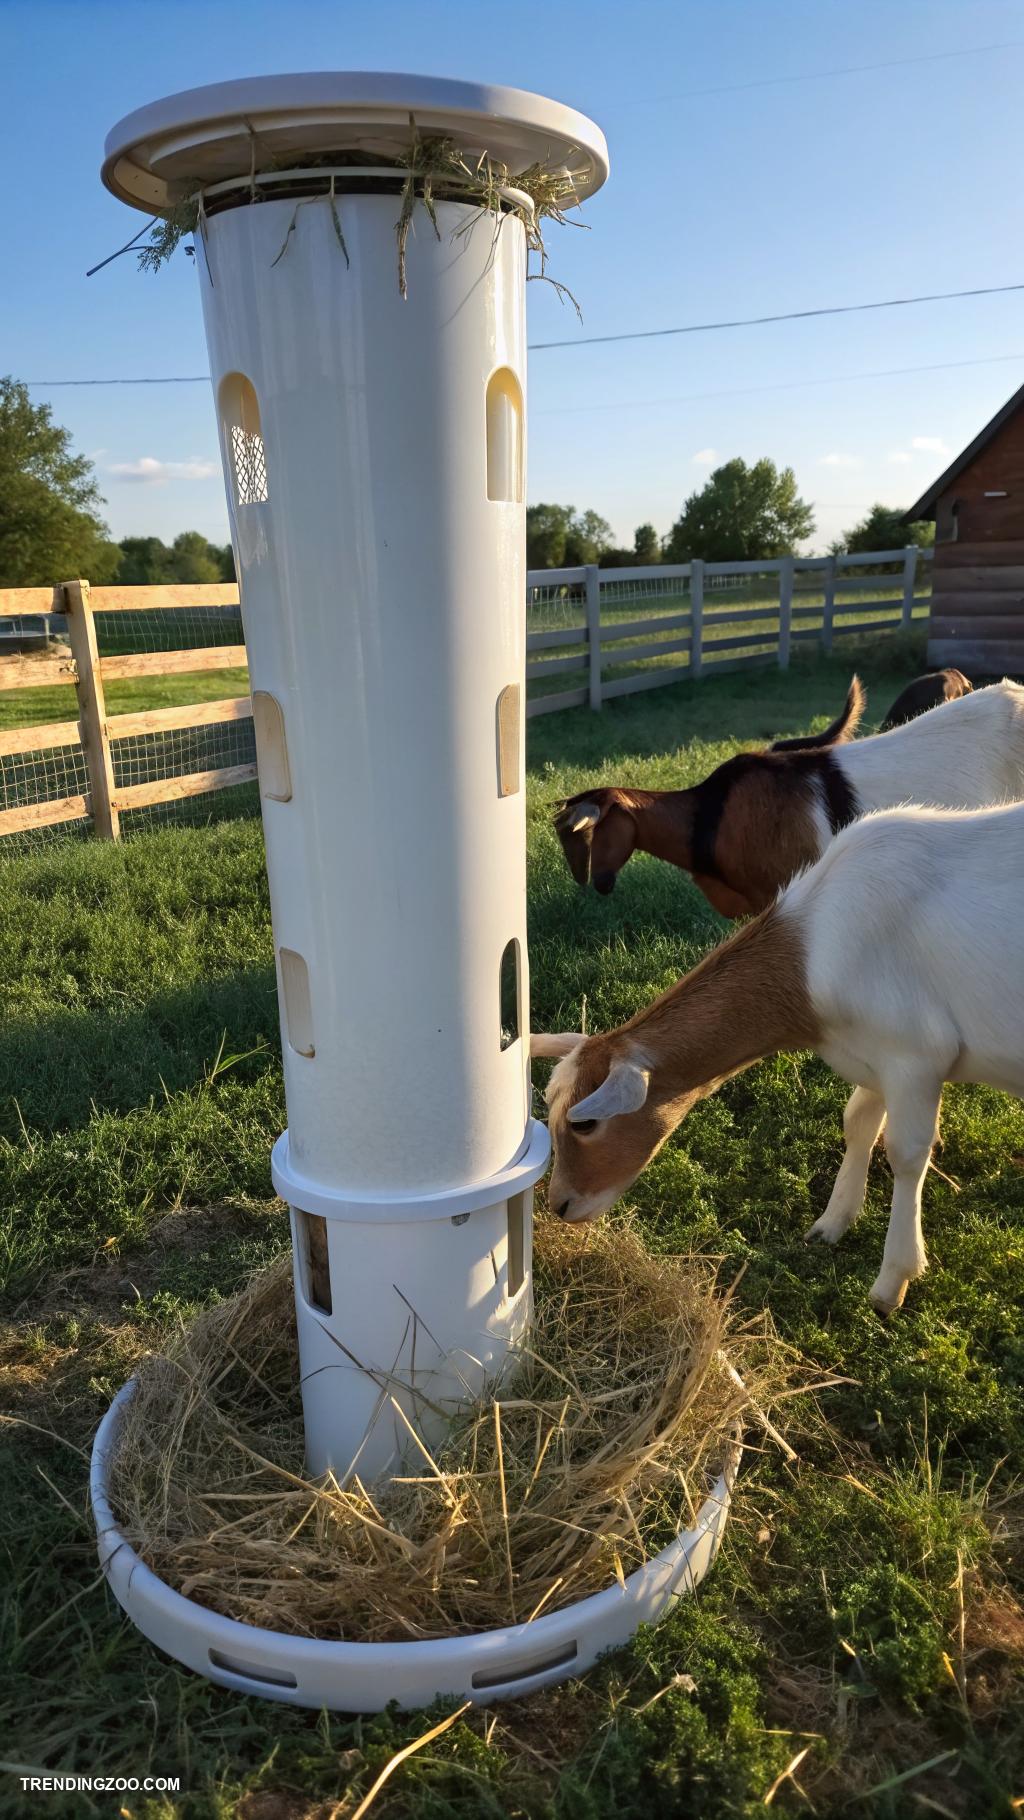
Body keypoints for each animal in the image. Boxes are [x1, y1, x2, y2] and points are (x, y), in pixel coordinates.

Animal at [533, 801, 1024, 1314]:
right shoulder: (874, 1056)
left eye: (586, 1123)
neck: (813, 954)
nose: (560, 1205)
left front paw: (892, 1282)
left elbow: (906, 1155)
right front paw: (831, 1224)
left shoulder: (916, 1057)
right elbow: (858, 1124)